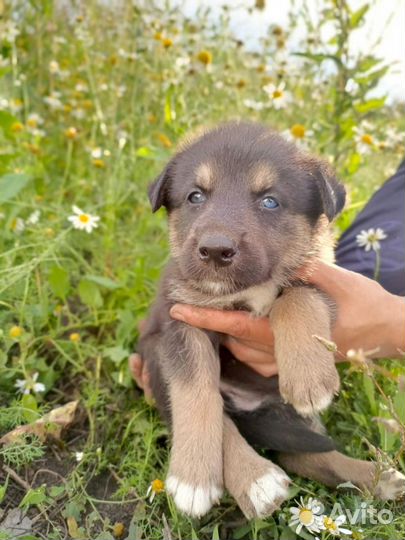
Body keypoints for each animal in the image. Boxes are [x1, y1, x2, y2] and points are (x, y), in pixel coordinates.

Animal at [138, 120, 400, 516]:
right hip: (154, 363)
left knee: (303, 455)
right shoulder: (179, 320)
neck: (247, 289)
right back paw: (256, 479)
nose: (215, 250)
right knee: (225, 416)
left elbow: (295, 299)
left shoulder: (323, 279)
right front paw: (193, 478)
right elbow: (197, 392)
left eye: (270, 201)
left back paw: (377, 477)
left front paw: (308, 375)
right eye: (195, 196)